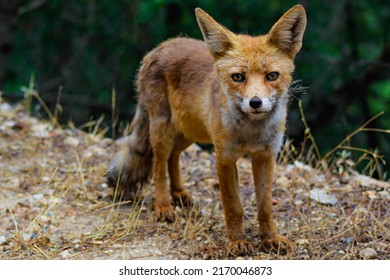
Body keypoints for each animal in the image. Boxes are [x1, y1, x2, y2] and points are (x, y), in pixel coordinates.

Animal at [107, 4, 308, 255]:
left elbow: (264, 207)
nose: (255, 103)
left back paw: (180, 194)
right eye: (238, 77)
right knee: (158, 166)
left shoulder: (265, 156)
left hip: (189, 133)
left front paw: (270, 238)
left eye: (272, 76)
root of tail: (160, 47)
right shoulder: (224, 157)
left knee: (173, 157)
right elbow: (233, 207)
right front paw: (236, 242)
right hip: (163, 131)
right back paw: (164, 206)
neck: (251, 133)